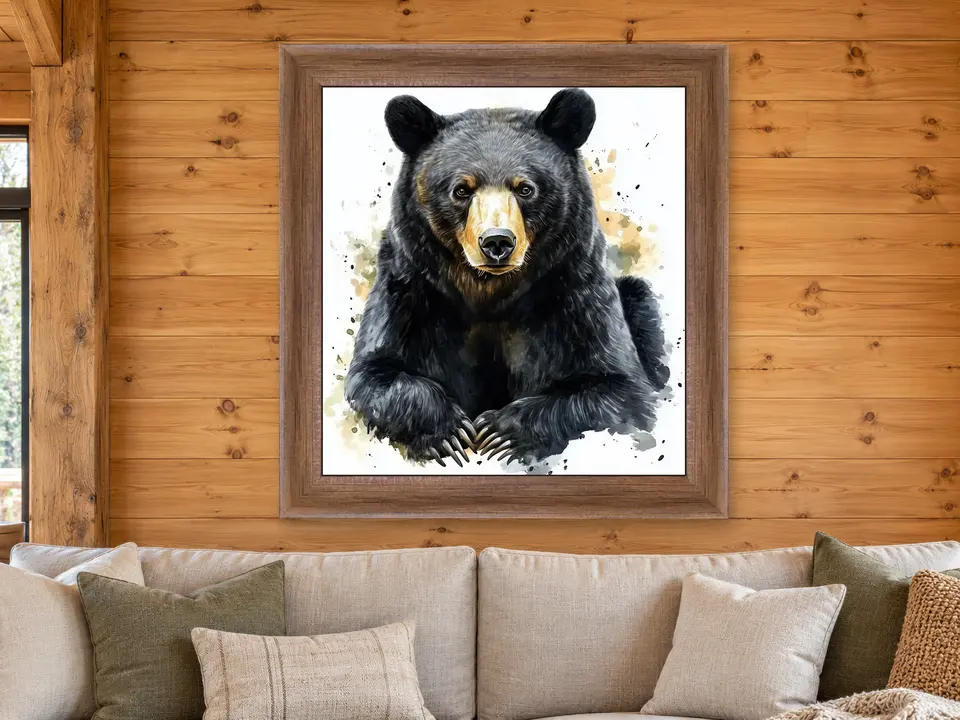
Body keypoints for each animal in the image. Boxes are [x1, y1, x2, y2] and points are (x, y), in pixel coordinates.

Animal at [344, 88, 668, 467]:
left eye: (525, 188)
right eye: (461, 190)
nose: (497, 242)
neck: (489, 292)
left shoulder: (572, 289)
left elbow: (620, 388)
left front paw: (500, 431)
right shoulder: (412, 288)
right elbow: (375, 373)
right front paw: (451, 432)